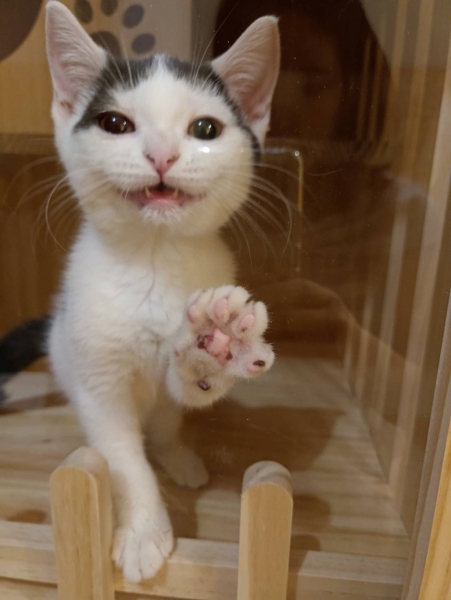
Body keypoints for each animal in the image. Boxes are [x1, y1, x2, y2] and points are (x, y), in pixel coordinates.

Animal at [8, 1, 280, 582]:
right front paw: (141, 533)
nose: (161, 154)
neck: (153, 263)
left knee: (167, 422)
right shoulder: (99, 385)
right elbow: (122, 459)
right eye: (116, 123)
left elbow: (185, 392)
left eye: (205, 128)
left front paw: (212, 345)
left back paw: (179, 455)